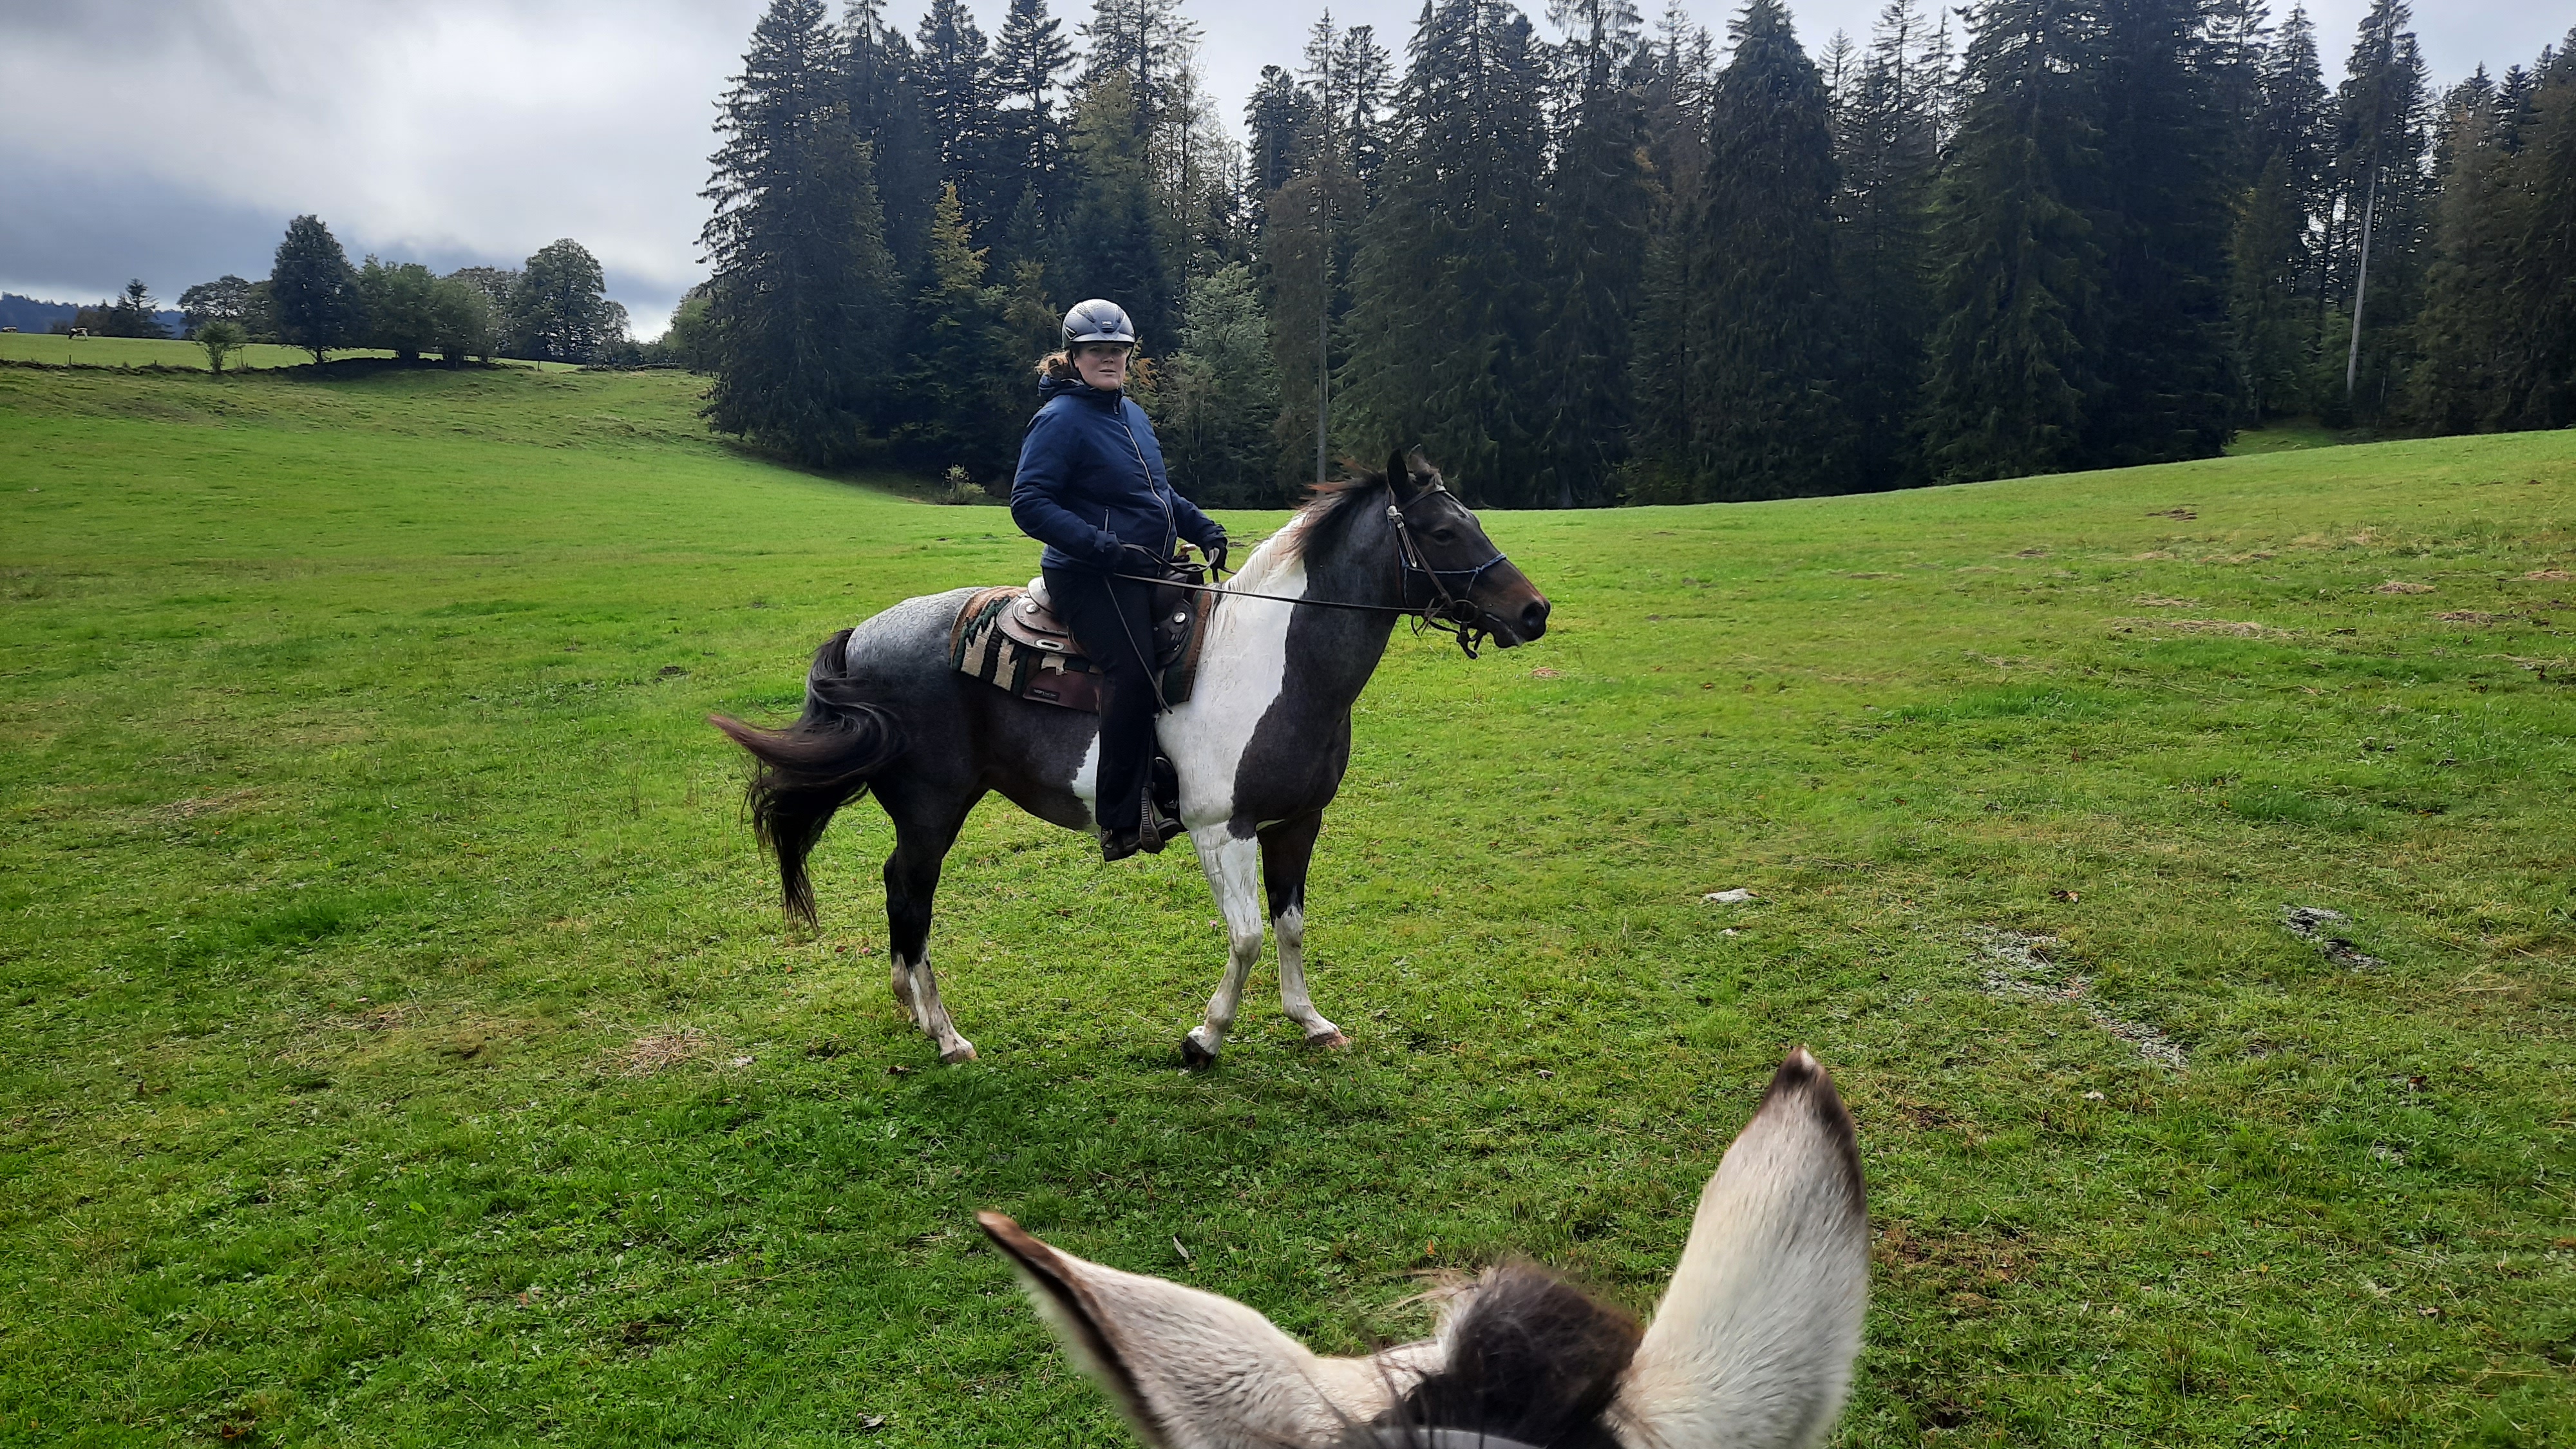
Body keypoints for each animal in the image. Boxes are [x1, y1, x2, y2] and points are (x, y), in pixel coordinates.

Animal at [710, 450, 1550, 1066]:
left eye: (1471, 520)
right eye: (1441, 532)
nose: (1534, 611)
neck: (1276, 664)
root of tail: (863, 635)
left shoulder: (1297, 823)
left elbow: (1289, 927)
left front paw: (1309, 1020)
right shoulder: (1222, 830)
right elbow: (1247, 937)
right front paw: (1205, 1038)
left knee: (896, 892)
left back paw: (911, 1012)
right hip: (931, 810)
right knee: (911, 897)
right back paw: (946, 1035)